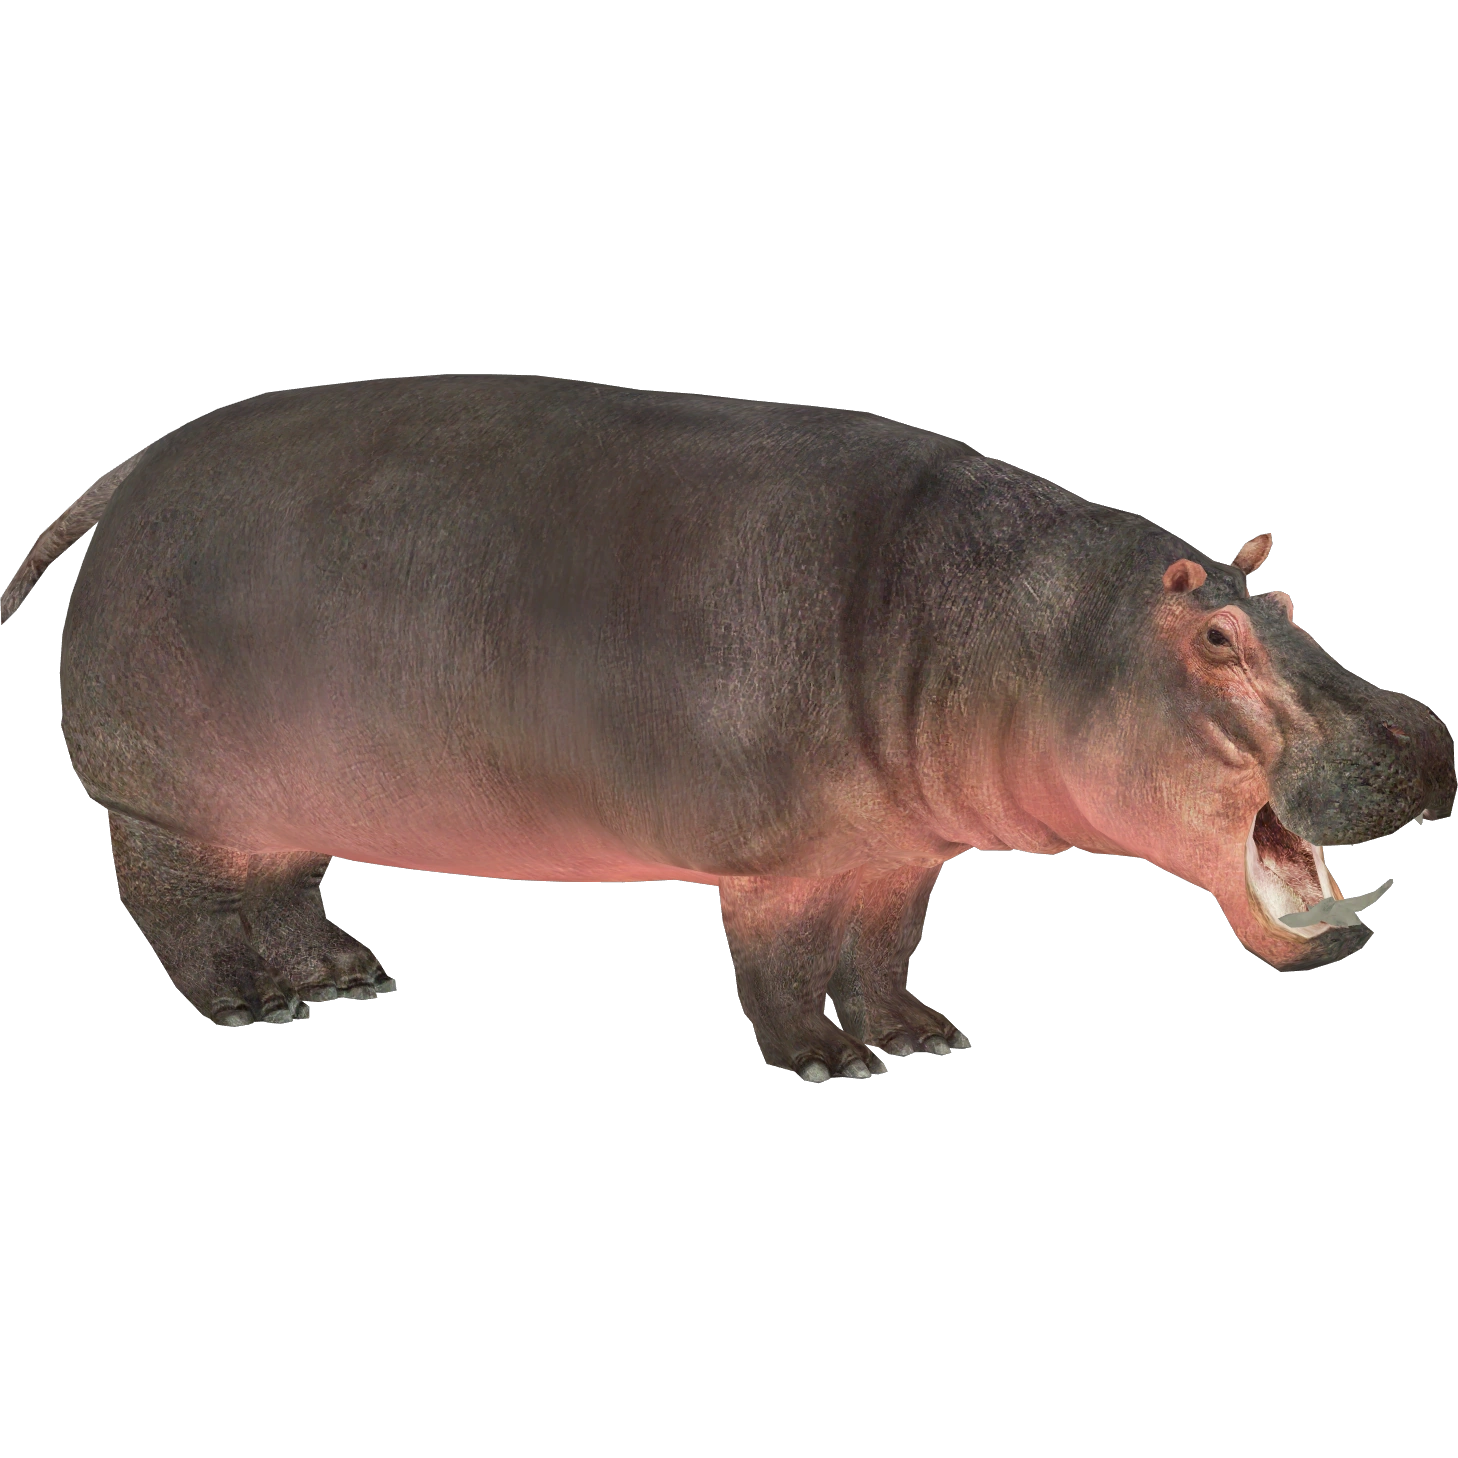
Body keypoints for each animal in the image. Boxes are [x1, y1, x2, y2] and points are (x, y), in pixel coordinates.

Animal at [3, 376, 1452, 1079]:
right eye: (1213, 640)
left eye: (1287, 596)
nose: (1424, 732)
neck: (1029, 626)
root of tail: (136, 468)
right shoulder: (780, 854)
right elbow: (785, 960)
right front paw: (831, 1062)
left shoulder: (888, 849)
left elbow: (874, 950)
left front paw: (913, 1037)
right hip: (166, 797)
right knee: (189, 909)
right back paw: (261, 1007)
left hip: (278, 805)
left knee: (279, 888)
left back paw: (339, 974)